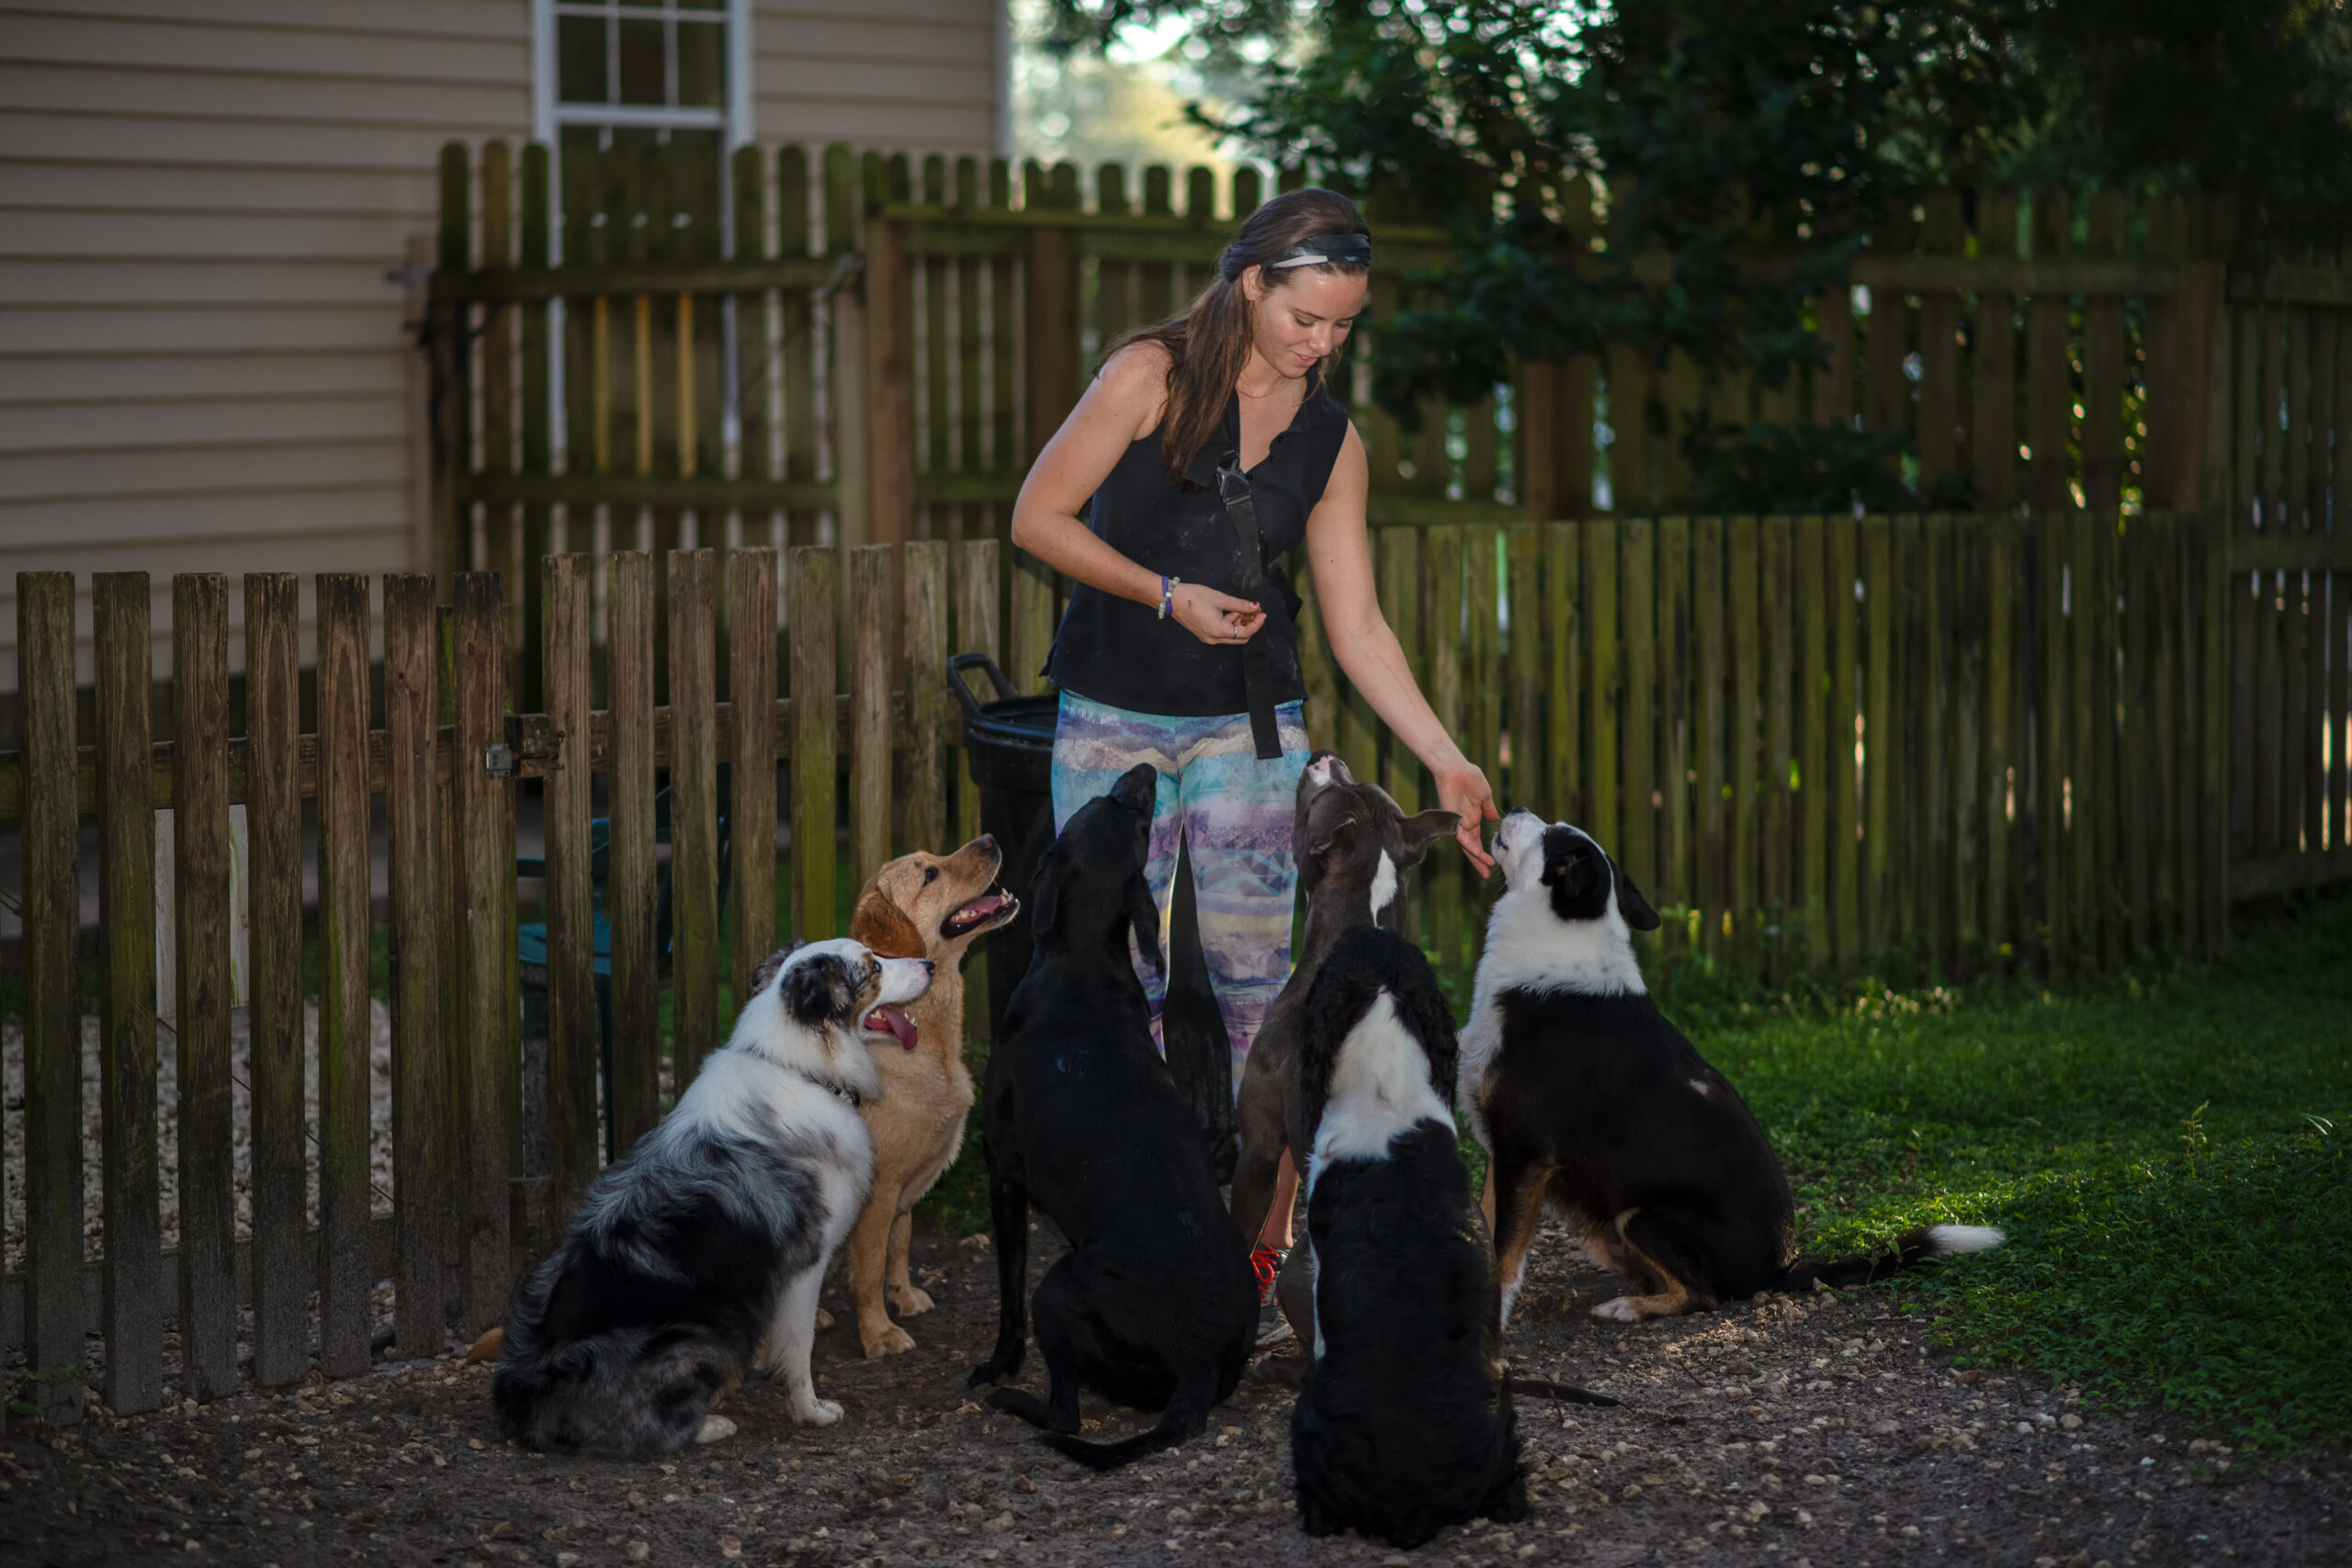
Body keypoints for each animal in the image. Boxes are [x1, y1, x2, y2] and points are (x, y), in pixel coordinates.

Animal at [493, 931, 926, 1457]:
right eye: (873, 967)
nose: (929, 963)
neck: (798, 1066)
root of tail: (523, 1393)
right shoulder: (809, 1260)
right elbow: (799, 1347)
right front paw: (812, 1411)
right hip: (707, 1326)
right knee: (643, 1427)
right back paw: (710, 1424)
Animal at [832, 831, 1015, 1363]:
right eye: (930, 874)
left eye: (933, 857)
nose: (990, 837)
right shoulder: (879, 1190)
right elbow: (869, 1269)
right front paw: (878, 1333)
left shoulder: (903, 1195)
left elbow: (900, 1245)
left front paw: (905, 1298)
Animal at [964, 761, 1270, 1476]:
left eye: (1125, 810)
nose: (1145, 771)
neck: (1081, 963)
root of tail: (1199, 1360)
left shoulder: (1004, 1172)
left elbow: (1008, 1291)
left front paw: (997, 1365)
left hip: (1058, 1288)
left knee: (1065, 1412)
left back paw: (1015, 1404)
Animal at [1458, 818, 1994, 1335]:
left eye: (1549, 833)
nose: (1514, 809)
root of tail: (1786, 1266)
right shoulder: (1502, 1150)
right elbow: (1487, 1227)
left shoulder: (1526, 1154)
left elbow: (1505, 1252)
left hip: (1645, 1215)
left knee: (1702, 1296)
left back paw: (1629, 1307)